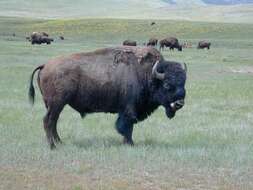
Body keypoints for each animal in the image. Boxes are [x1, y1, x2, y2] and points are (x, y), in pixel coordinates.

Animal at [28, 45, 187, 148]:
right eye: (167, 85)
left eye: (184, 83)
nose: (180, 103)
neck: (148, 74)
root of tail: (45, 65)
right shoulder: (129, 110)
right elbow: (127, 126)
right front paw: (130, 144)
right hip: (57, 103)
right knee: (48, 121)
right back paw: (52, 146)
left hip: (53, 105)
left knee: (53, 122)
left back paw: (60, 142)